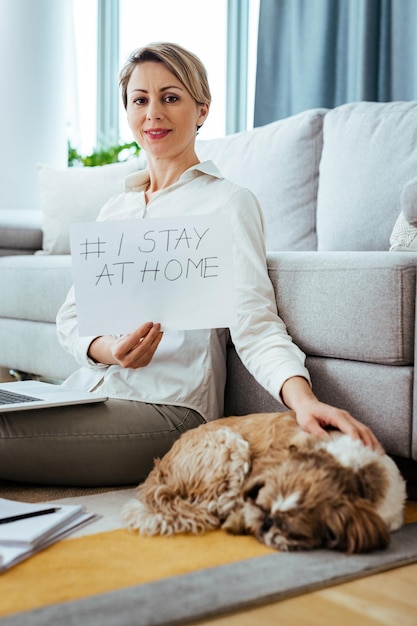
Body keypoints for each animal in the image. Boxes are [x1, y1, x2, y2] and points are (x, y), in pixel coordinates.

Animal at [121, 410, 406, 552]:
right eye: (262, 504)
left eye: (296, 532)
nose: (266, 522)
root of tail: (162, 467)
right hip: (230, 445)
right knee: (214, 505)